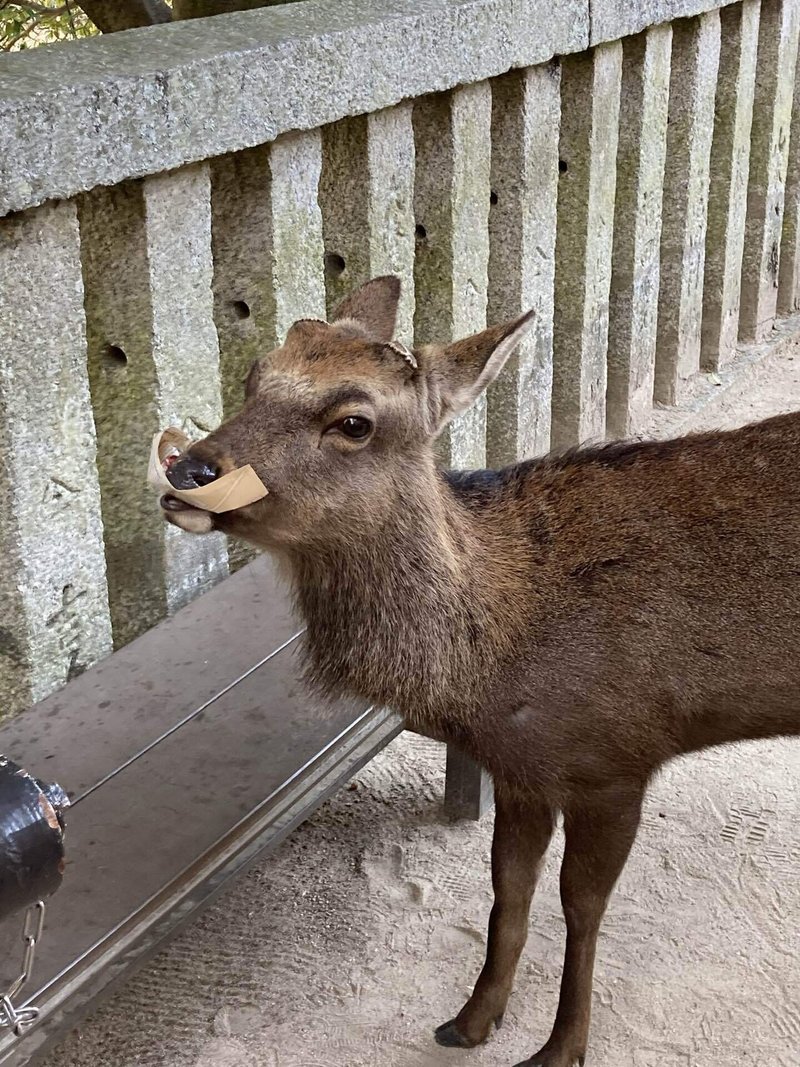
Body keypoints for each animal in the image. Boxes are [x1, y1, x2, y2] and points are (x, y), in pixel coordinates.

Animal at [157, 277, 800, 1067]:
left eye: (353, 421)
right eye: (254, 375)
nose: (186, 471)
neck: (494, 660)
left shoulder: (618, 759)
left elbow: (581, 907)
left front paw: (561, 1046)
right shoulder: (522, 771)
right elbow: (508, 892)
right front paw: (470, 1019)